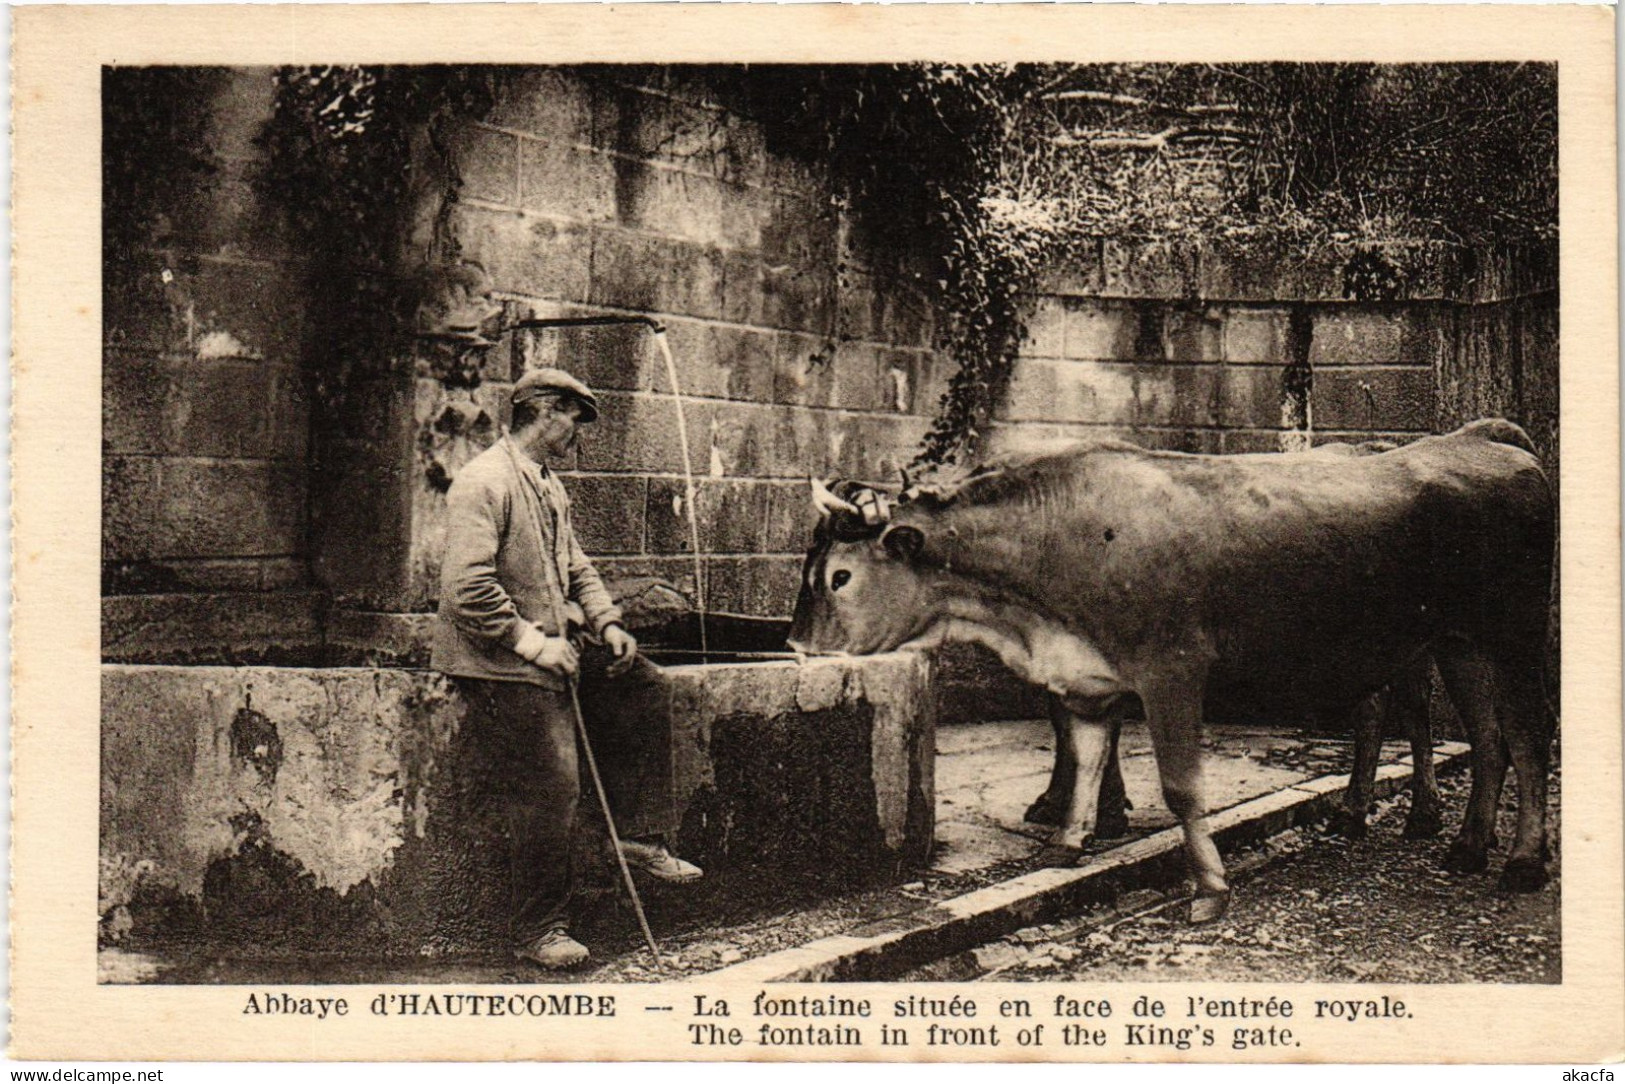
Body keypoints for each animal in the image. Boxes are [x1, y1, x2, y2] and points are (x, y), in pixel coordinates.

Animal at [793, 419, 1553, 923]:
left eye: (839, 576)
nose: (797, 646)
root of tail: (1484, 440)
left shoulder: (1172, 673)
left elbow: (1183, 788)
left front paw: (1210, 889)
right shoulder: (1090, 682)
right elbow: (1086, 762)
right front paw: (1067, 843)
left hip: (1513, 633)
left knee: (1525, 735)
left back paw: (1518, 859)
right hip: (1457, 641)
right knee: (1485, 737)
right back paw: (1465, 845)